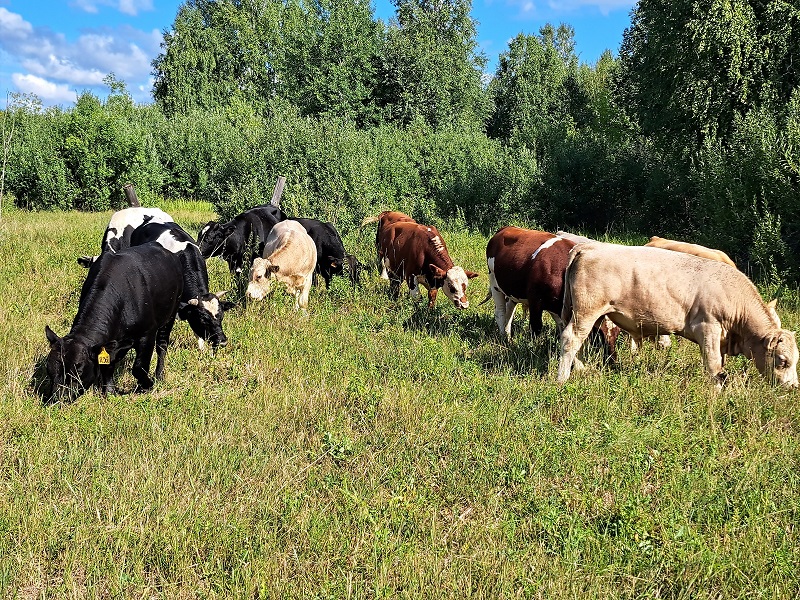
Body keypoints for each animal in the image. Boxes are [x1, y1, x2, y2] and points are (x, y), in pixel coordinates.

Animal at [46, 244, 184, 404]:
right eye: (50, 371)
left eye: (79, 372)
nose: (60, 399)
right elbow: (108, 366)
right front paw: (110, 391)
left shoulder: (147, 334)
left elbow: (139, 367)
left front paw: (146, 386)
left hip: (171, 314)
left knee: (162, 346)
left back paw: (159, 376)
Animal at [484, 227, 620, 360]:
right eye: (599, 332)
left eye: (618, 332)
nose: (611, 359)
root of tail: (505, 229)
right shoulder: (535, 301)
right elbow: (536, 327)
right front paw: (534, 351)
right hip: (494, 283)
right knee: (500, 312)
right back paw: (503, 337)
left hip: (512, 290)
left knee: (509, 311)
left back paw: (508, 336)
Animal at [556, 244, 800, 390]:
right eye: (783, 360)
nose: (793, 387)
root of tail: (591, 246)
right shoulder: (708, 329)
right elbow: (714, 367)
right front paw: (716, 392)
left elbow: (720, 366)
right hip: (586, 312)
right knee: (570, 339)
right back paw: (562, 379)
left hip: (588, 314)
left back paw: (581, 368)